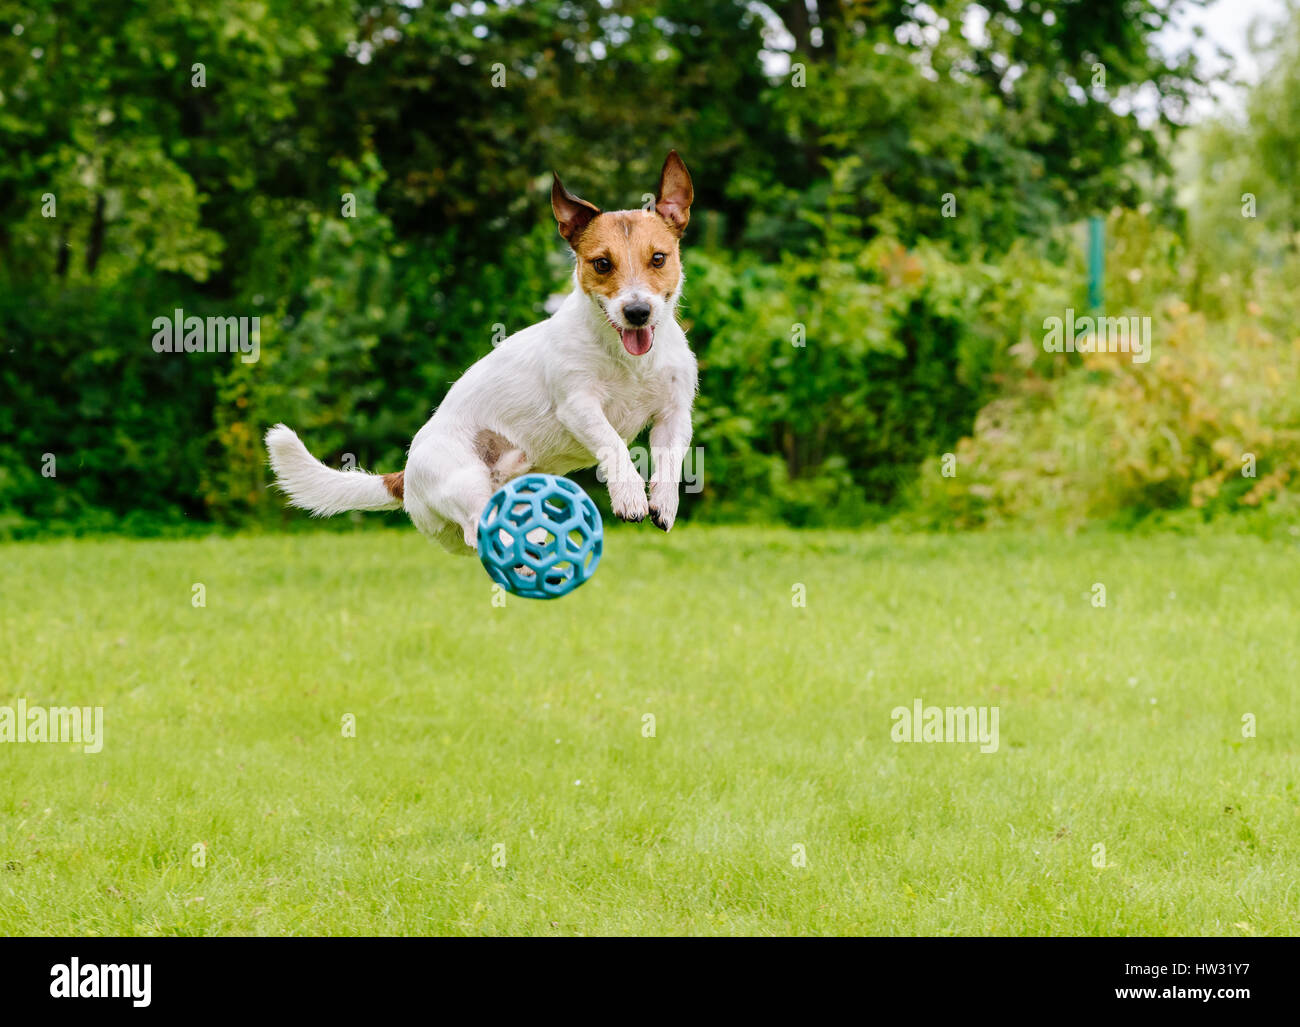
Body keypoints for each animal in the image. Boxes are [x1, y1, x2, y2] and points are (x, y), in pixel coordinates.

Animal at [266, 150, 702, 553]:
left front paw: (663, 502)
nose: (637, 312)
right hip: (464, 482)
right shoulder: (579, 405)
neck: (630, 361)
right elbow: (613, 444)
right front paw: (628, 495)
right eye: (601, 264)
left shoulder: (674, 415)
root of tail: (405, 477)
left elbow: (669, 461)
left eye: (658, 258)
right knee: (478, 531)